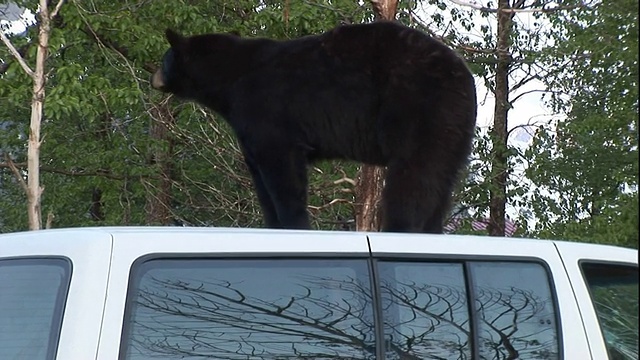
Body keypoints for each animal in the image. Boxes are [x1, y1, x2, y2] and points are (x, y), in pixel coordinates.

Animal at [152, 21, 478, 233]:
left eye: (164, 59)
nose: (155, 77)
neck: (229, 79)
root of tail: (464, 76)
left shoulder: (266, 109)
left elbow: (282, 170)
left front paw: (294, 222)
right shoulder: (246, 126)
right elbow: (259, 174)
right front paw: (272, 223)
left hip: (416, 108)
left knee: (413, 177)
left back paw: (401, 226)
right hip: (452, 130)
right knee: (440, 180)